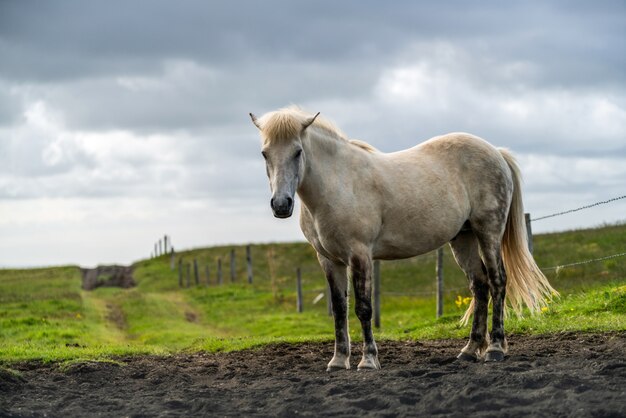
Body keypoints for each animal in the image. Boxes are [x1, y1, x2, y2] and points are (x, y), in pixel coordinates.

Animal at [249, 106, 556, 370]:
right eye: (264, 153)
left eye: (298, 152)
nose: (281, 205)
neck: (338, 184)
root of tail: (496, 152)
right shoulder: (328, 260)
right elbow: (339, 310)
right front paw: (338, 361)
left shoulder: (360, 255)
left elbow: (363, 308)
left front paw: (368, 361)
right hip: (463, 238)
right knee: (480, 287)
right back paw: (469, 351)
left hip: (488, 231)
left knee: (497, 282)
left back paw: (494, 349)